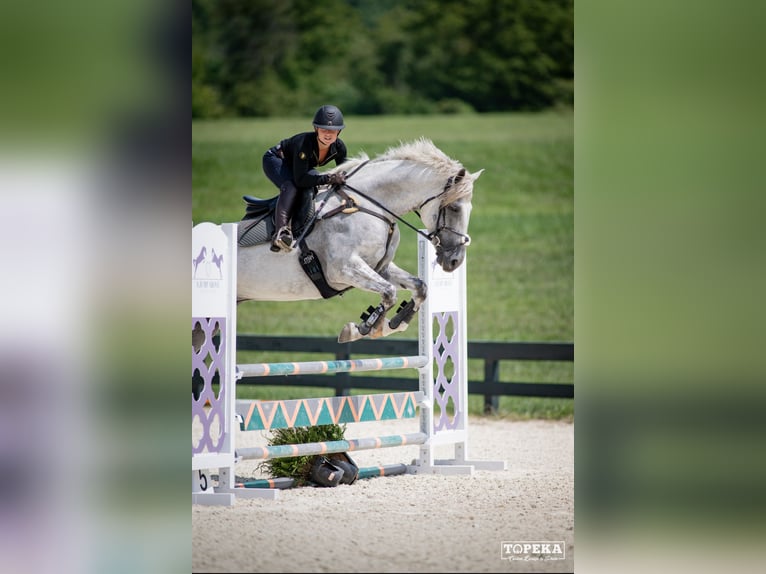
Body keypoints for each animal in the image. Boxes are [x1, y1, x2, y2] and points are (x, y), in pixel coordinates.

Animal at [235, 138, 483, 343]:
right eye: (454, 207)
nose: (455, 261)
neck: (368, 204)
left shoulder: (379, 267)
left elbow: (419, 287)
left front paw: (395, 323)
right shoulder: (342, 269)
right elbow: (389, 292)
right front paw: (363, 328)